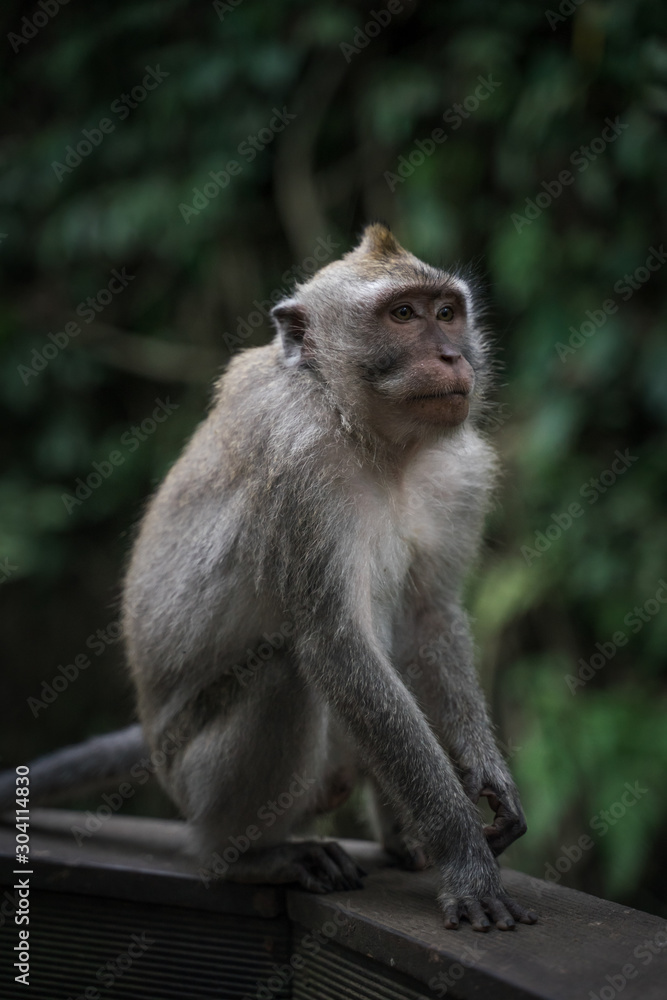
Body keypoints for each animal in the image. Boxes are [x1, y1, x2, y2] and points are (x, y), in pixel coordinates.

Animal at [1, 227, 536, 928]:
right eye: (402, 314)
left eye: (447, 312)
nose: (452, 355)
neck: (368, 434)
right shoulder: (298, 468)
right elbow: (335, 647)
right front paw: (465, 854)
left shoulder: (460, 472)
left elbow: (430, 617)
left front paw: (490, 784)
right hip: (196, 778)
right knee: (283, 674)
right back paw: (251, 857)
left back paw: (403, 842)